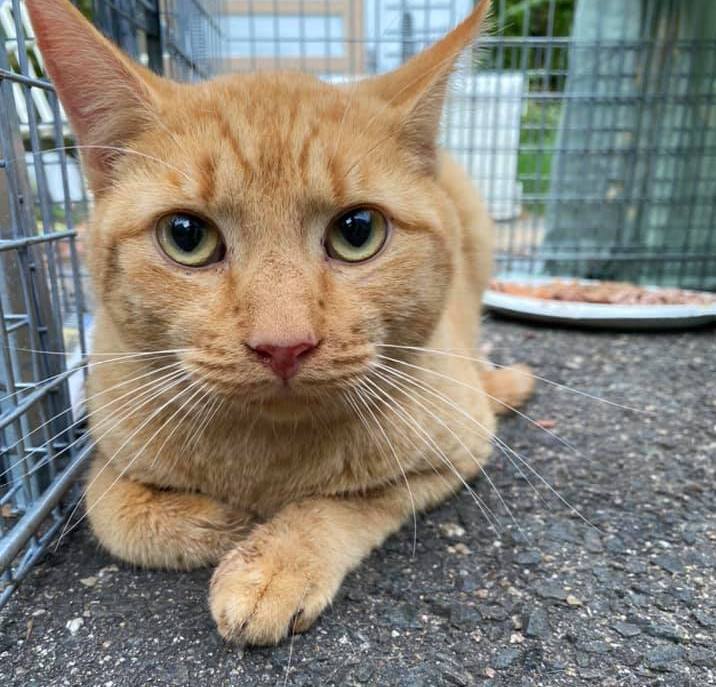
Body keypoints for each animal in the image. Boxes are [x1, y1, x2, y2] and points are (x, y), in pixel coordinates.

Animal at [26, 0, 532, 644]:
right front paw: (223, 523)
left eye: (357, 231)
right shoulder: (109, 455)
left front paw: (272, 562)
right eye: (186, 236)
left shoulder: (455, 455)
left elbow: (348, 503)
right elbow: (112, 512)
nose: (283, 345)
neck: (264, 455)